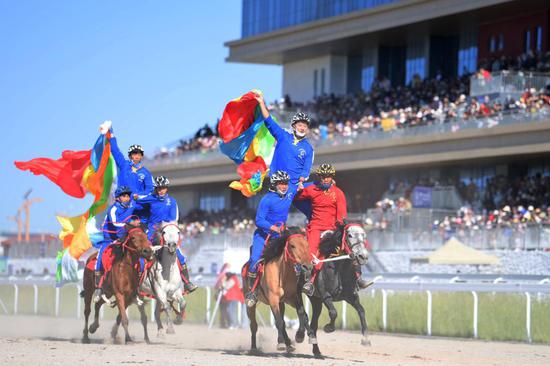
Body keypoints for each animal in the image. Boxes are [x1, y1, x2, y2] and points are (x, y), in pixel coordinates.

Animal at [244, 226, 322, 358]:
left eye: (306, 244)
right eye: (292, 245)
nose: (307, 266)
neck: (282, 273)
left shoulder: (293, 297)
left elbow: (302, 314)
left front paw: (306, 336)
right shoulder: (273, 299)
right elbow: (279, 322)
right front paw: (281, 343)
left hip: (281, 303)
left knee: (284, 321)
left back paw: (289, 344)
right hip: (251, 305)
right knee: (253, 325)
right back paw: (254, 348)